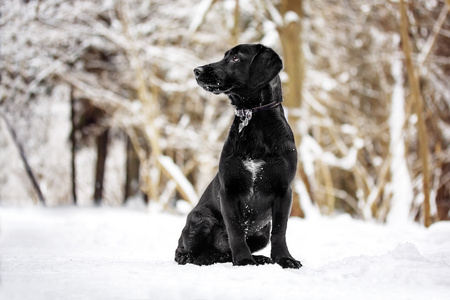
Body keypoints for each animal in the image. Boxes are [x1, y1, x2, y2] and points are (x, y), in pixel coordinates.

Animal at [174, 43, 300, 268]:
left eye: (235, 58)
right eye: (225, 56)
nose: (197, 70)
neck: (253, 117)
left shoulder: (284, 190)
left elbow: (280, 231)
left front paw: (284, 259)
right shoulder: (229, 190)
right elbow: (235, 231)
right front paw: (243, 260)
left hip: (261, 233)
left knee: (224, 252)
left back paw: (257, 258)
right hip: (201, 218)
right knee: (186, 251)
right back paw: (198, 258)